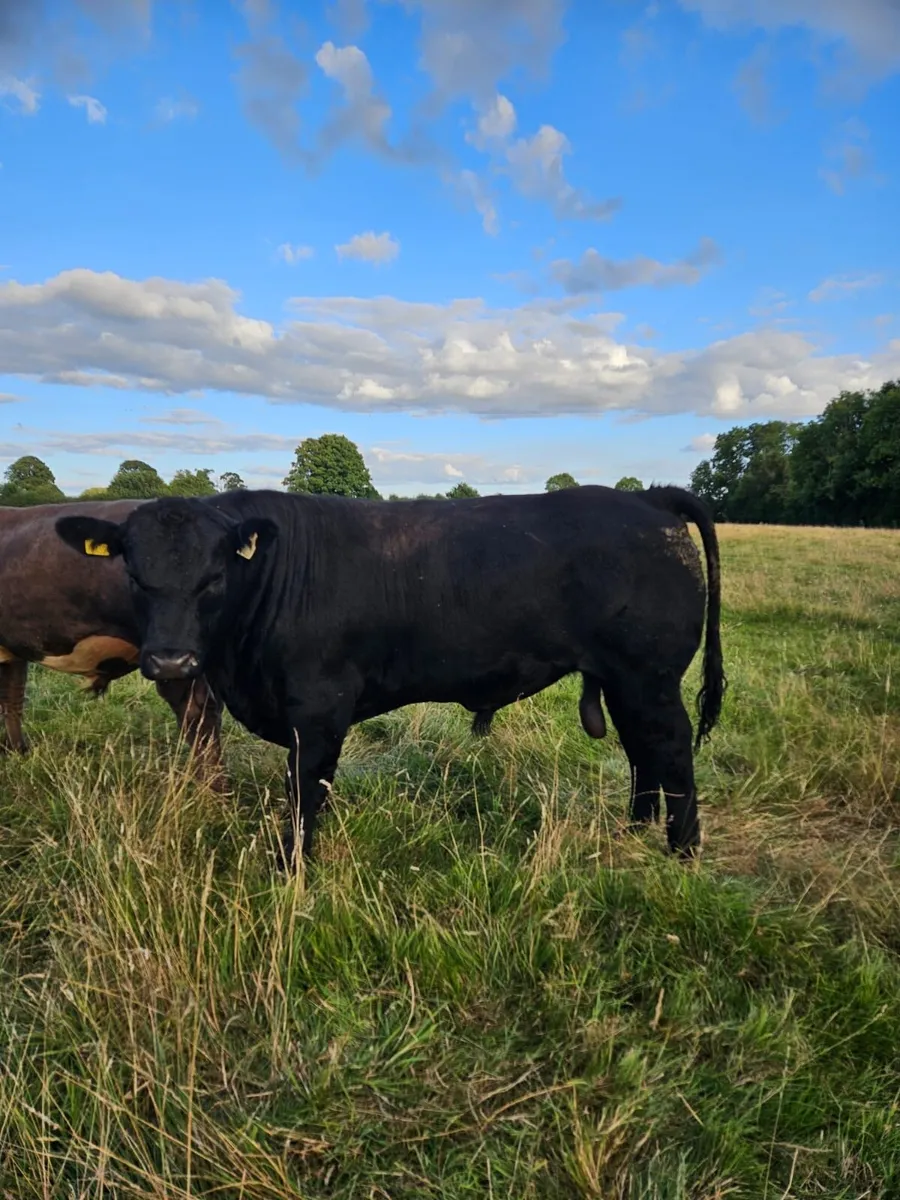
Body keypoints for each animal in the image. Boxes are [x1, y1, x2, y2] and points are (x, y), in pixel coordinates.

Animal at [54, 484, 725, 867]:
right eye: (133, 574)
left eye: (214, 577)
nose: (170, 661)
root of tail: (648, 496)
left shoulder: (319, 710)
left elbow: (304, 795)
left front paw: (292, 873)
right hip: (624, 680)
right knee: (642, 752)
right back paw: (631, 833)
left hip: (649, 677)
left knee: (671, 753)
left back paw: (682, 855)